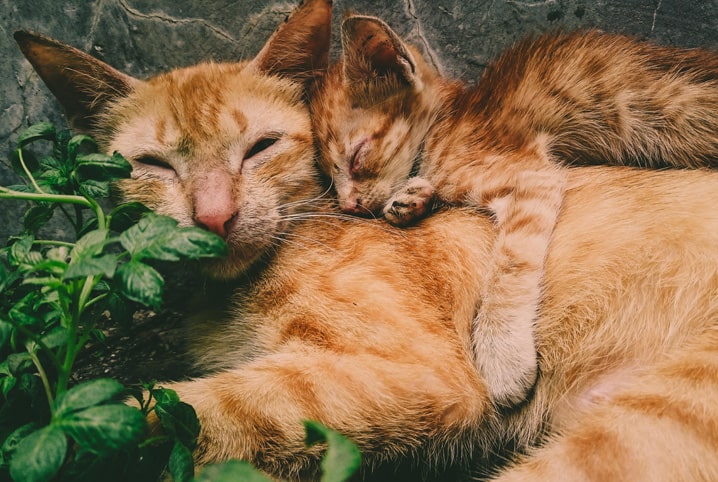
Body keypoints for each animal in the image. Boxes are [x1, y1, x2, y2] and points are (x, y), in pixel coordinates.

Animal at [310, 16, 718, 406]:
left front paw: (502, 356)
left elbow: (507, 268)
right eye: (329, 175)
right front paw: (412, 197)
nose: (348, 204)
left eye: (358, 155)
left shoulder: (531, 177)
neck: (443, 126)